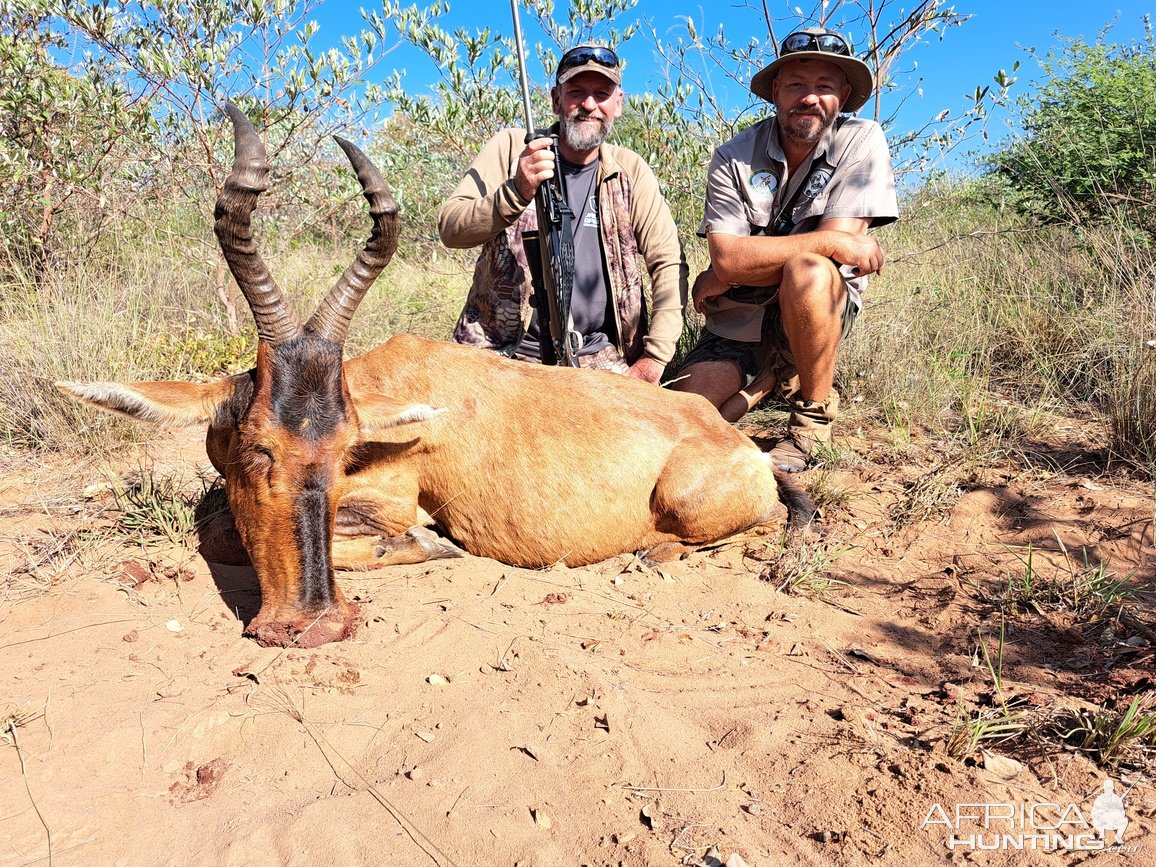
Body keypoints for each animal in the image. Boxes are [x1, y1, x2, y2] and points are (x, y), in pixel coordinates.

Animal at [56, 105, 813, 647]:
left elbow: (230, 532)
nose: (316, 625)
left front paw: (430, 544)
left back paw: (654, 551)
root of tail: (743, 448)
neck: (388, 379)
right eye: (255, 447)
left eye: (343, 451)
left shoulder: (391, 498)